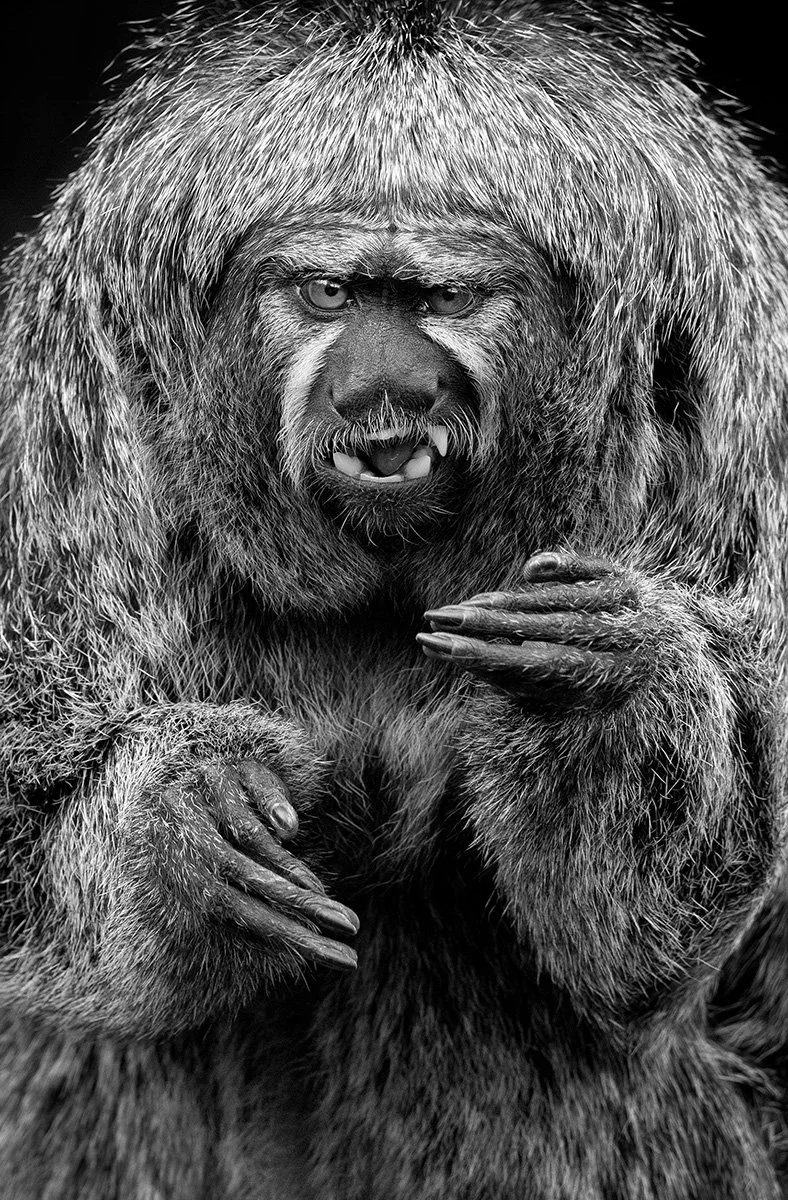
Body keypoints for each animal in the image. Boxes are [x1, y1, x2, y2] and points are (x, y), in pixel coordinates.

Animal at [1, 0, 787, 1196]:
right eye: (331, 293)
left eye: (439, 298)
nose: (385, 382)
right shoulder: (59, 406)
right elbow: (27, 810)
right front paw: (178, 837)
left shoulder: (752, 398)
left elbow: (654, 939)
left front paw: (600, 693)